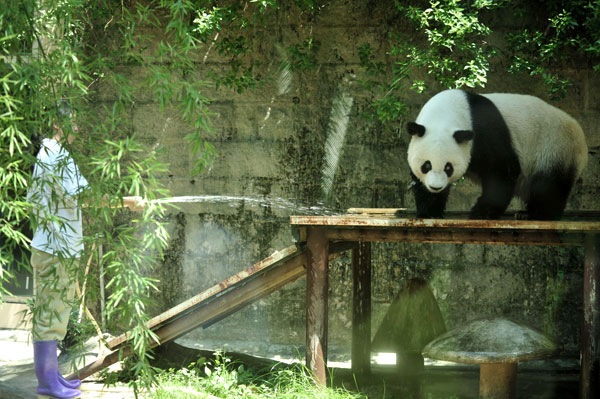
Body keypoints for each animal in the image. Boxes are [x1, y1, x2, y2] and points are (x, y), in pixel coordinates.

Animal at [406, 90, 588, 220]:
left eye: (448, 167)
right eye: (426, 165)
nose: (435, 187)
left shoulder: (484, 130)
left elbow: (503, 168)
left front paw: (481, 212)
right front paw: (430, 211)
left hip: (554, 147)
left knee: (549, 184)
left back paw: (538, 214)